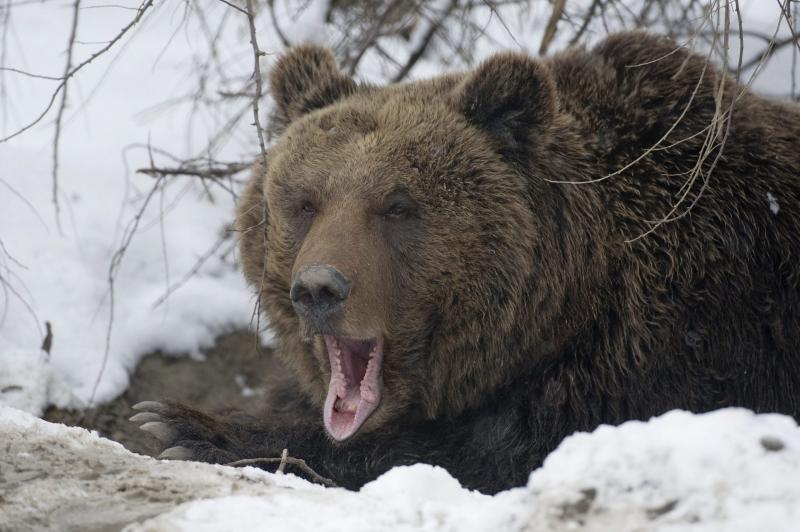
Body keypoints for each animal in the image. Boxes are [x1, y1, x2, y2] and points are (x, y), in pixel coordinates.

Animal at [133, 31, 800, 492]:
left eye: (397, 205)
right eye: (304, 202)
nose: (319, 288)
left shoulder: (663, 351)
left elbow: (470, 454)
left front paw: (185, 427)